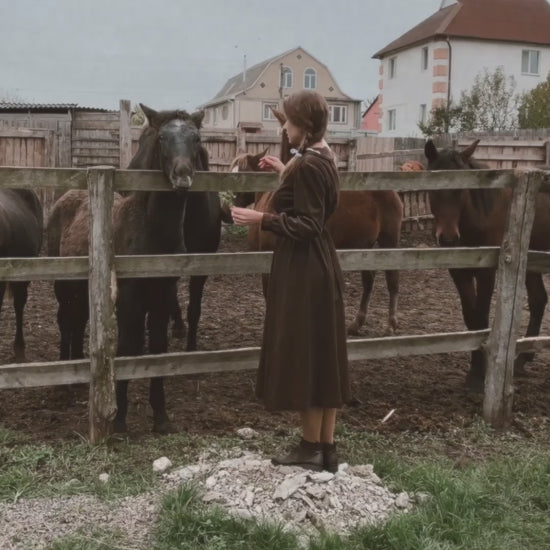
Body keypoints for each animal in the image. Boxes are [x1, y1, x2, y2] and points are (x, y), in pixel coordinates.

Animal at [46, 103, 221, 434]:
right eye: (162, 137)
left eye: (196, 138)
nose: (182, 176)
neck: (150, 233)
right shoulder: (128, 298)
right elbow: (128, 347)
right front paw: (119, 419)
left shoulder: (162, 295)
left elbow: (158, 348)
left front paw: (161, 416)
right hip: (63, 283)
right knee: (65, 320)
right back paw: (63, 386)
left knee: (78, 321)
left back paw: (79, 372)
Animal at [232, 111, 406, 336]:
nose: (230, 206)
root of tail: (392, 192)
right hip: (365, 245)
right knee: (368, 280)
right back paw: (356, 323)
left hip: (388, 240)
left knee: (392, 279)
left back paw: (390, 324)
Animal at [426, 141, 550, 392]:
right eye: (433, 189)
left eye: (462, 190)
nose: (448, 239)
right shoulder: (459, 273)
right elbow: (470, 318)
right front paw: (475, 371)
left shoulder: (487, 273)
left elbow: (481, 316)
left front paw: (478, 375)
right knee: (538, 300)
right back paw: (522, 360)